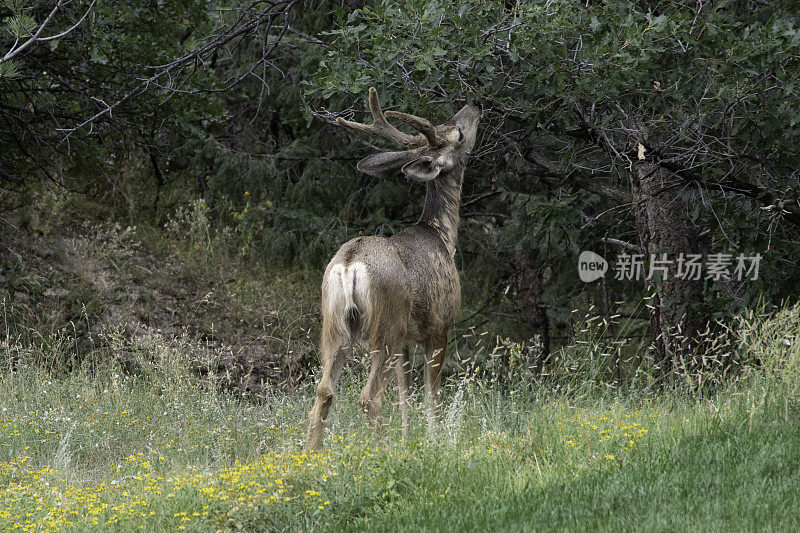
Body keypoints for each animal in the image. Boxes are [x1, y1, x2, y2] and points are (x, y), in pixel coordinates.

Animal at [308, 88, 482, 448]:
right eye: (458, 134)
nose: (475, 105)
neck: (442, 235)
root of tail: (350, 265)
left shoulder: (406, 340)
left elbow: (405, 396)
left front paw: (408, 440)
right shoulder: (439, 327)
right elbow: (431, 396)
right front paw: (434, 443)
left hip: (333, 325)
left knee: (324, 389)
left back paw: (310, 454)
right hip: (386, 325)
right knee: (368, 397)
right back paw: (381, 451)